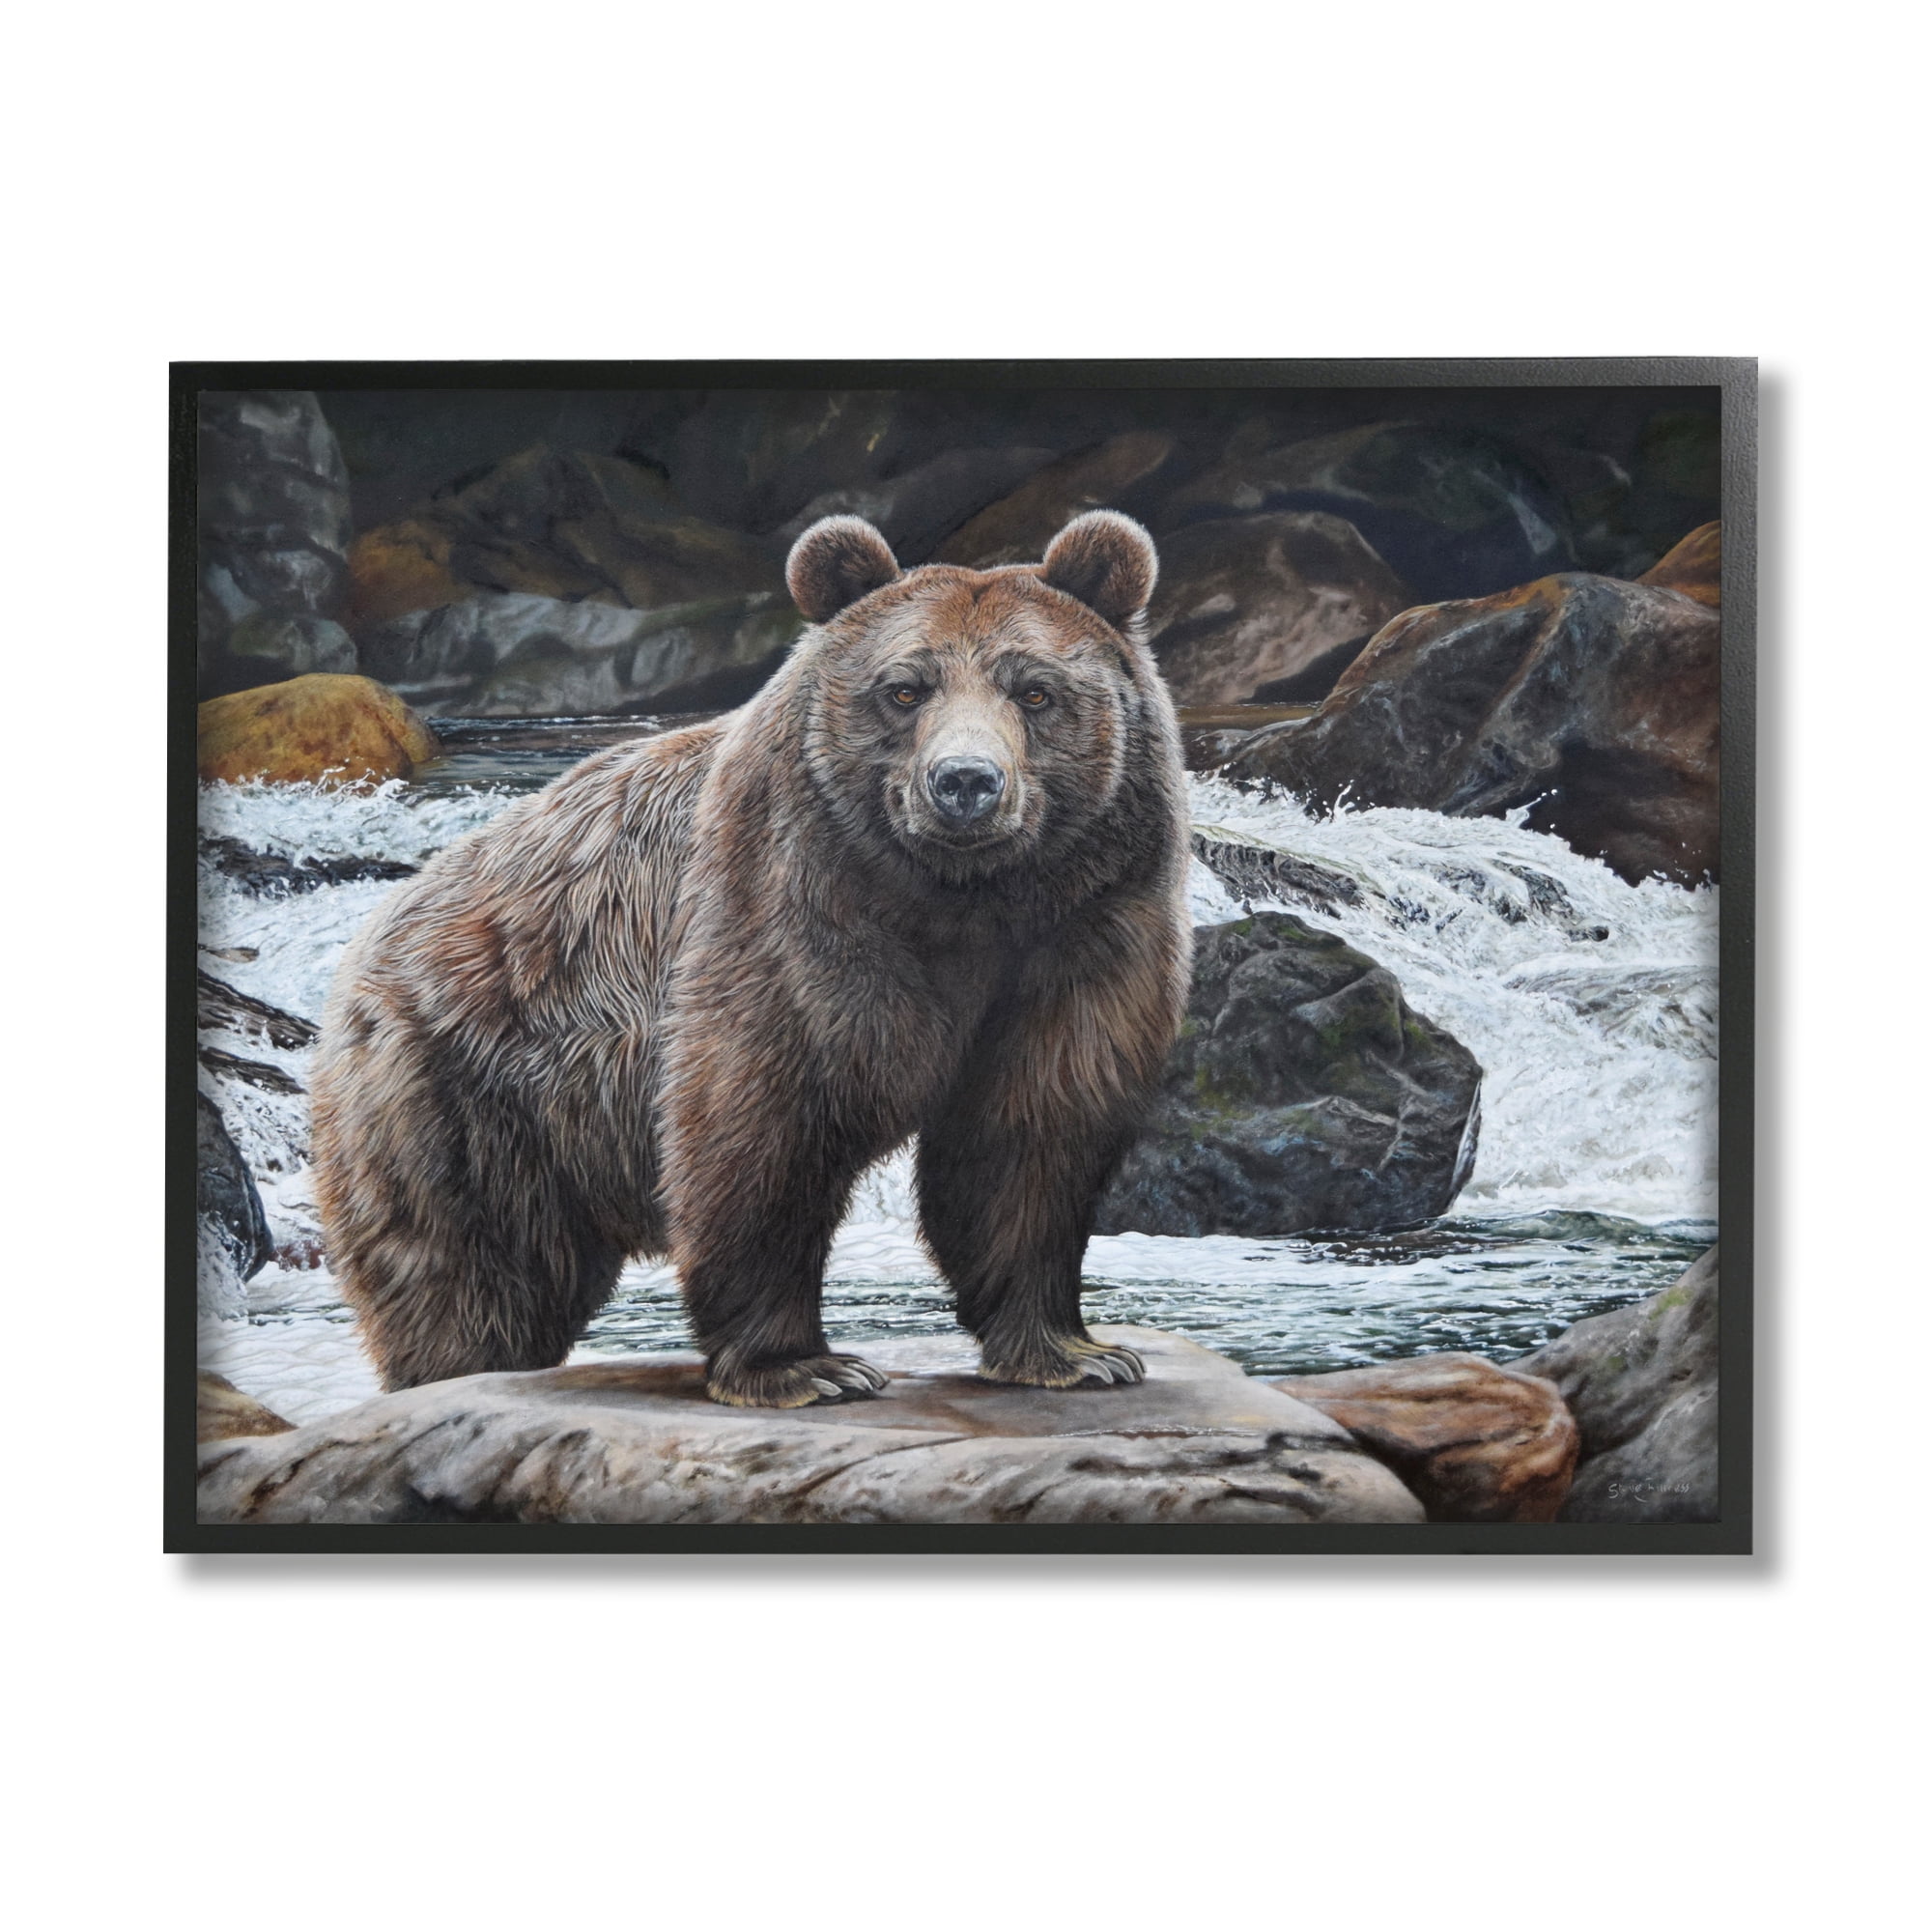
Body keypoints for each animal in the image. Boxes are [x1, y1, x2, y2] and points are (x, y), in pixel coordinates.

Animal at [311, 509, 1192, 1407]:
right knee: (469, 1273)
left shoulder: (1085, 929)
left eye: (1035, 690)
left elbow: (1030, 1132)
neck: (966, 901)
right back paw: (454, 1370)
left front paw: (1073, 1351)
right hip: (467, 1087)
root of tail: (373, 939)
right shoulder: (789, 906)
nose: (966, 783)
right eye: (905, 689)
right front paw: (805, 1367)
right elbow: (762, 1119)